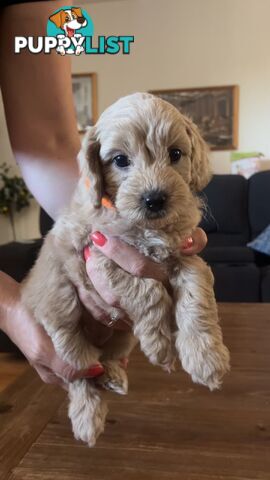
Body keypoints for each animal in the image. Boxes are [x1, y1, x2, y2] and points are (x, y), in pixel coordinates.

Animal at [22, 93, 231, 446]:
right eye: (120, 160)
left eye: (175, 154)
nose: (154, 199)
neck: (148, 228)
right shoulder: (100, 255)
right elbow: (148, 290)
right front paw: (159, 343)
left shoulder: (186, 255)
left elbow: (196, 294)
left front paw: (206, 357)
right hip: (62, 317)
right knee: (80, 371)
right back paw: (88, 417)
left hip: (120, 339)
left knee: (104, 359)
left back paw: (114, 376)